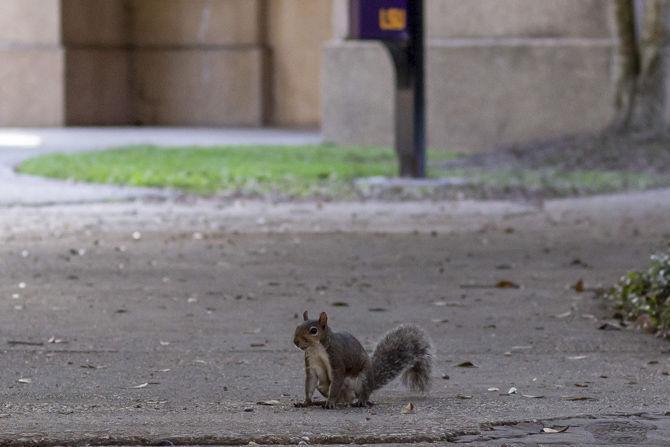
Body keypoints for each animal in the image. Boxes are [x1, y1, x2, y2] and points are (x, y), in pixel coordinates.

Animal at [292, 312, 430, 410]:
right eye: (297, 326)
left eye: (313, 330)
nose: (296, 342)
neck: (316, 349)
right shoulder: (311, 363)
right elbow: (310, 382)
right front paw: (306, 402)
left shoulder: (337, 360)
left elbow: (336, 382)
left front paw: (330, 402)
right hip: (323, 386)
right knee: (341, 399)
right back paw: (320, 402)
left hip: (363, 379)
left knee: (363, 394)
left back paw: (360, 401)